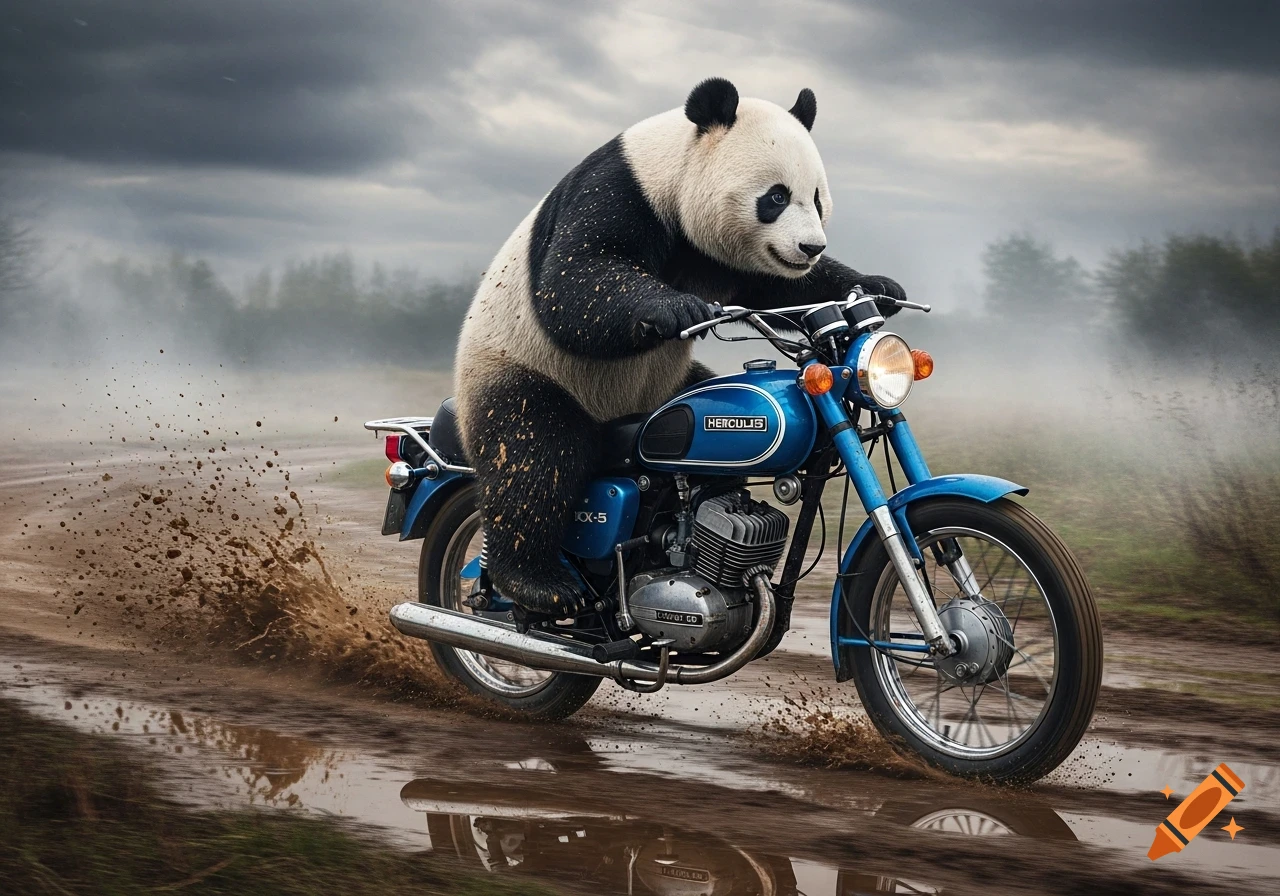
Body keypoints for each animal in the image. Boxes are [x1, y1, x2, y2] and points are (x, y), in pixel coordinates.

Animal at [455, 77, 906, 617]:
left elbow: (787, 288)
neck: (674, 171)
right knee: (532, 452)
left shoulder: (727, 261)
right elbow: (572, 281)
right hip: (519, 368)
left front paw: (879, 289)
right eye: (776, 197)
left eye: (817, 200)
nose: (811, 247)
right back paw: (535, 583)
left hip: (669, 385)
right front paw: (676, 309)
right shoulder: (620, 191)